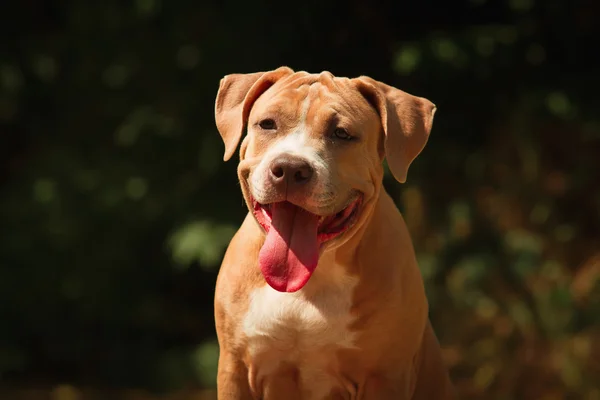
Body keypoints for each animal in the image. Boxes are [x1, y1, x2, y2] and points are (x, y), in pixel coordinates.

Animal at [213, 67, 452, 398]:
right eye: (267, 124)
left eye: (341, 133)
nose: (290, 168)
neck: (312, 280)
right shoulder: (235, 369)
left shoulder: (384, 375)